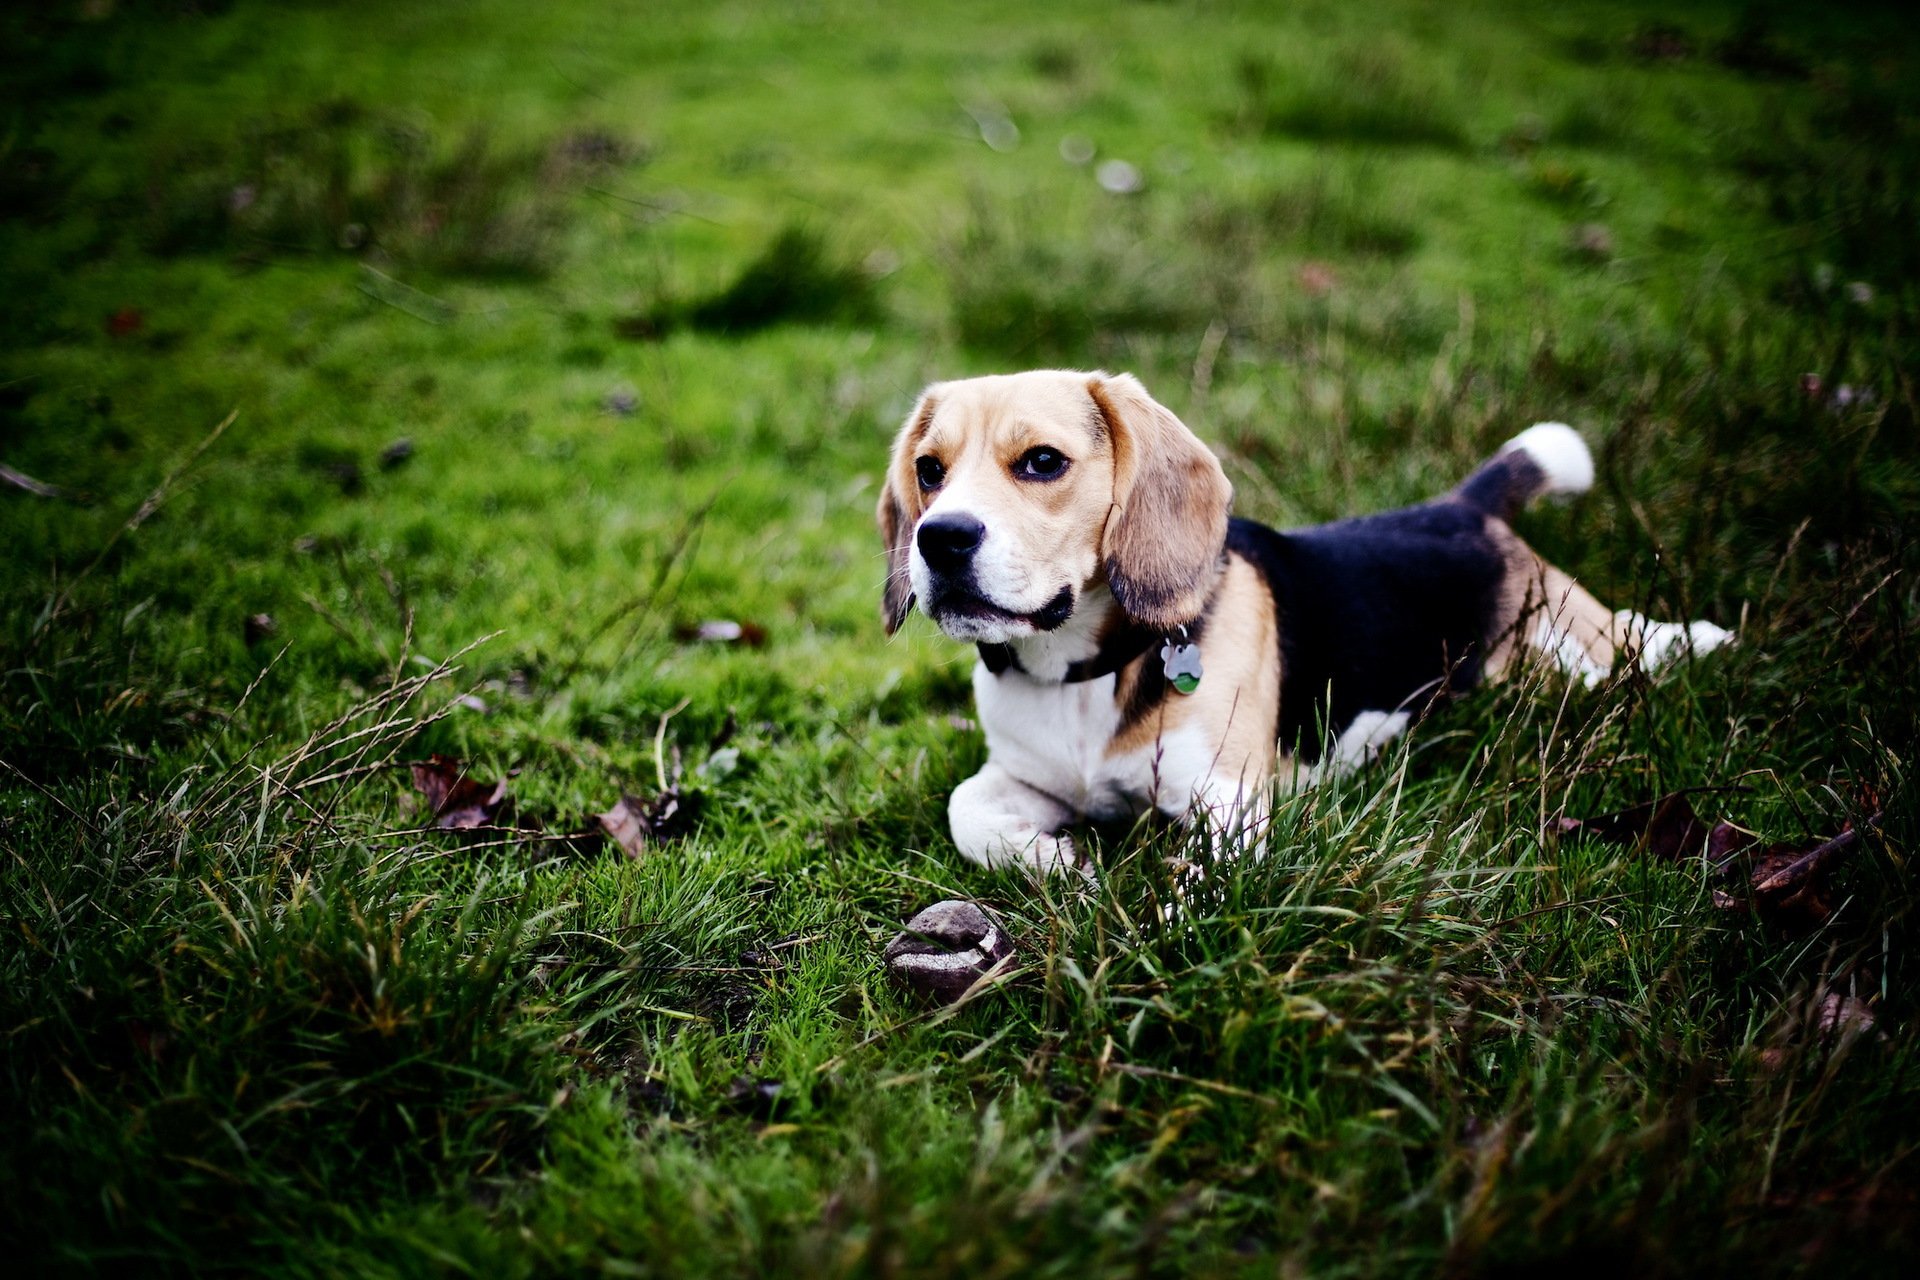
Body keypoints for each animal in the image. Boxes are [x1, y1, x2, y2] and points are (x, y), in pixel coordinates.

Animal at [879, 364, 1735, 875]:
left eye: (1043, 463)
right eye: (930, 470)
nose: (940, 539)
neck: (1080, 672)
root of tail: (1464, 506)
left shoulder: (1229, 806)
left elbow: (1199, 889)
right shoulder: (1025, 776)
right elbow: (965, 811)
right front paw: (1058, 861)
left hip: (1579, 647)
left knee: (1633, 642)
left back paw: (1699, 639)